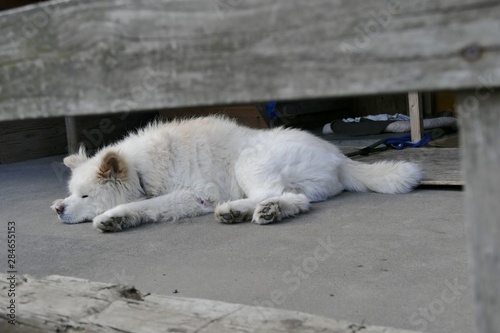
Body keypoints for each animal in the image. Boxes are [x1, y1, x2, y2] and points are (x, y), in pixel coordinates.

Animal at [51, 116, 422, 231]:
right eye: (70, 193)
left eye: (85, 195)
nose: (58, 209)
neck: (143, 168)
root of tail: (341, 158)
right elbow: (151, 207)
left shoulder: (198, 194)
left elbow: (146, 205)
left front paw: (113, 216)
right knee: (294, 199)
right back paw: (262, 211)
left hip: (249, 160)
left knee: (278, 194)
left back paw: (239, 210)